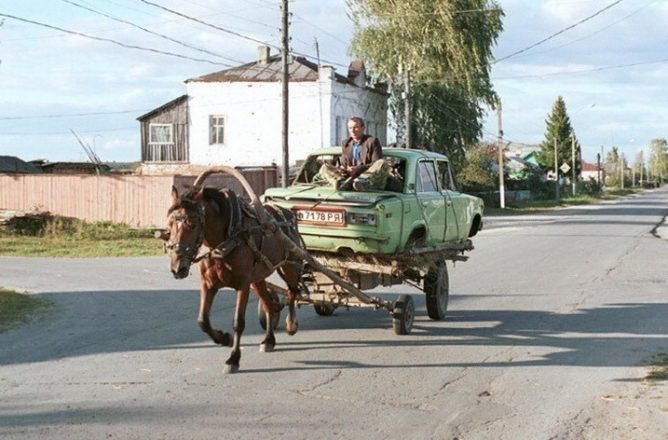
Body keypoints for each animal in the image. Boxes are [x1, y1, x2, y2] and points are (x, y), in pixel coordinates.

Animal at [160, 167, 306, 372]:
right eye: (169, 224)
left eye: (192, 224)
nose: (177, 267)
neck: (226, 238)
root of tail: (287, 214)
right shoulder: (208, 284)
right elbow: (202, 320)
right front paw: (224, 338)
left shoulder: (243, 285)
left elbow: (238, 322)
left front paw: (233, 358)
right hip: (258, 278)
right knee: (269, 305)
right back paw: (268, 340)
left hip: (290, 265)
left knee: (293, 292)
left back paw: (291, 324)